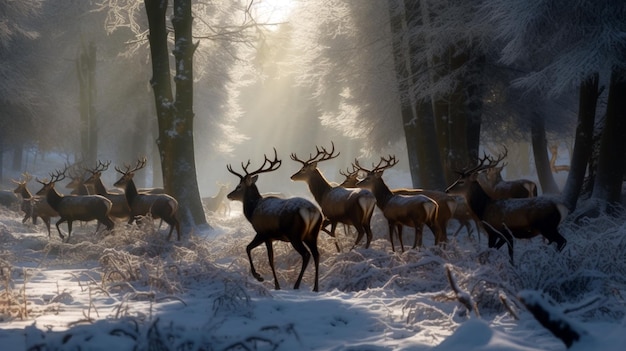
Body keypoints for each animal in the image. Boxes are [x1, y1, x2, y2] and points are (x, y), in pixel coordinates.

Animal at [225, 148, 322, 292]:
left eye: (239, 186)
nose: (229, 195)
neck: (252, 211)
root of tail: (311, 211)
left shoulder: (263, 233)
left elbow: (264, 256)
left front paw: (266, 280)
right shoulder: (268, 236)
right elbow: (251, 249)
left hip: (295, 235)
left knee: (306, 254)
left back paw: (296, 285)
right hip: (312, 234)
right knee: (316, 254)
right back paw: (315, 288)